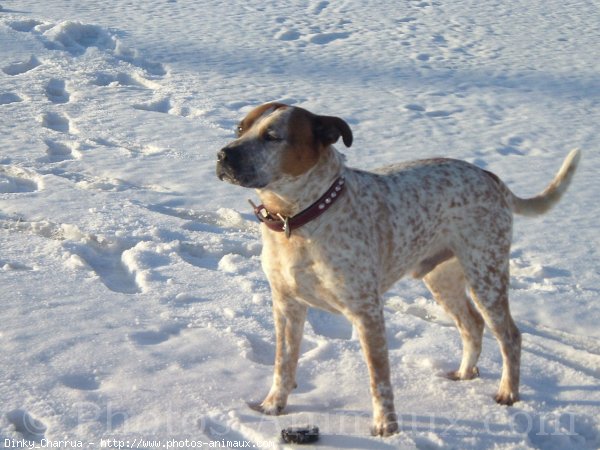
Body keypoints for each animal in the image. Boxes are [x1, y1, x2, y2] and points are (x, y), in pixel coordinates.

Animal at [216, 102, 580, 436]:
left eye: (272, 136)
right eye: (240, 128)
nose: (222, 154)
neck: (298, 219)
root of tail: (491, 177)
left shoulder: (367, 311)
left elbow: (380, 379)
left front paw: (386, 428)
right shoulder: (286, 304)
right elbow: (283, 363)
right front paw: (273, 407)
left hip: (486, 275)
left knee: (510, 336)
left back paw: (508, 393)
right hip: (442, 279)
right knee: (472, 326)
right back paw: (464, 374)